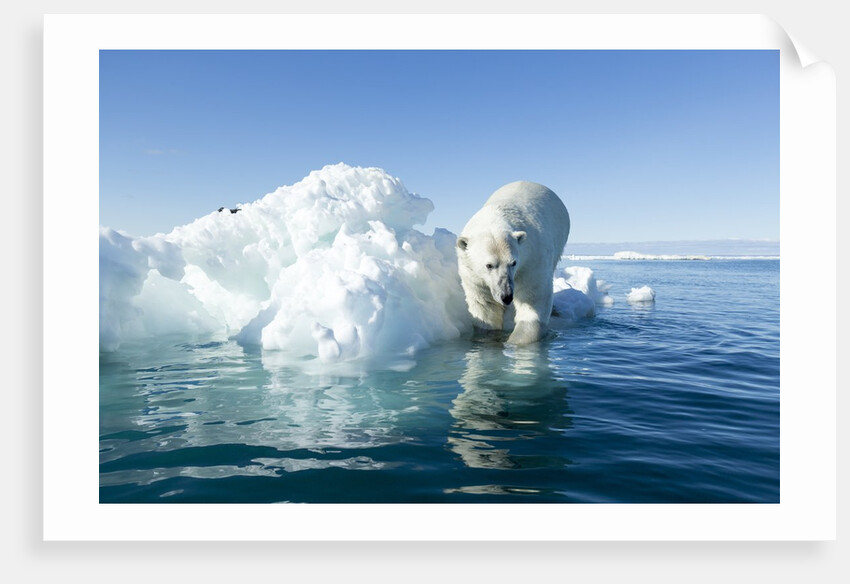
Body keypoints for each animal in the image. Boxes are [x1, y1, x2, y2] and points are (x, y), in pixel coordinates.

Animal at [456, 181, 570, 345]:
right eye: (489, 265)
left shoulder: (531, 261)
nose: (507, 296)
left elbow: (532, 301)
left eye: (513, 263)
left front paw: (517, 340)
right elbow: (485, 308)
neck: (495, 215)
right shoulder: (472, 274)